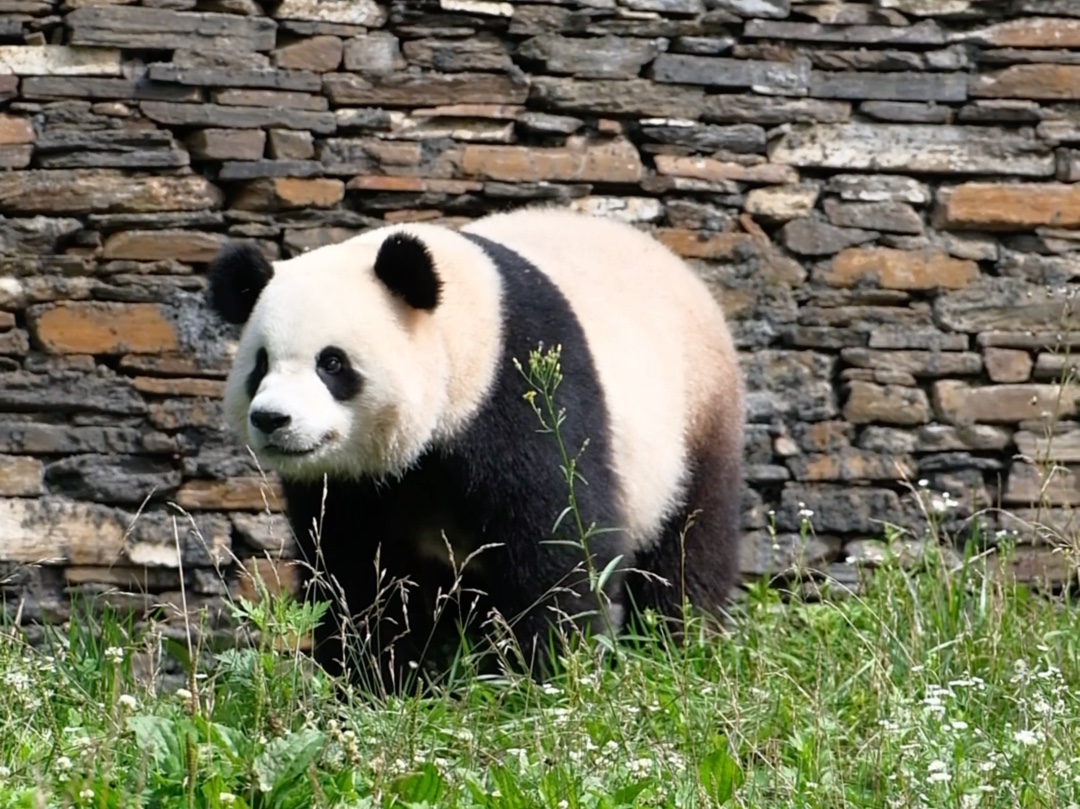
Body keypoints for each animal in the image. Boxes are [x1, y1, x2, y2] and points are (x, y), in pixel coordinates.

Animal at [204, 205, 743, 691]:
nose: (272, 419)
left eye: (332, 363)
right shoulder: (352, 487)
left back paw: (676, 646)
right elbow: (352, 567)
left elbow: (558, 540)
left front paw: (541, 673)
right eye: (260, 364)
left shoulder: (521, 392)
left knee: (690, 542)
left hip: (692, 416)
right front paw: (372, 679)